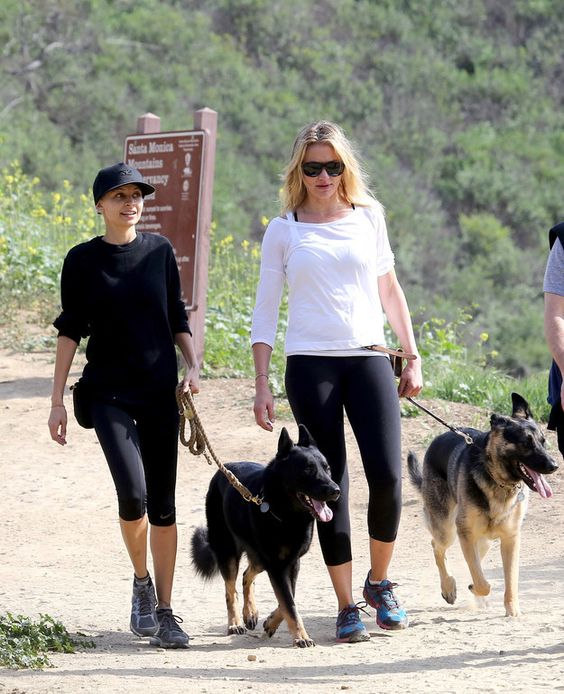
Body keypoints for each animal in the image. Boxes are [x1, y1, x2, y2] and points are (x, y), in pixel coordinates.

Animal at [189, 426, 340, 648]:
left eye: (327, 468)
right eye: (308, 470)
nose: (336, 490)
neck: (288, 515)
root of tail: (221, 472)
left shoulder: (291, 564)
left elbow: (288, 599)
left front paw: (271, 623)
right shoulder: (276, 566)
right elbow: (289, 604)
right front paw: (301, 636)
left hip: (259, 559)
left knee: (246, 575)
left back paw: (250, 613)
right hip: (228, 553)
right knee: (230, 590)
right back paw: (234, 623)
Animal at [408, 394, 556, 616]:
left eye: (543, 442)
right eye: (526, 443)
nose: (554, 465)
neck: (498, 480)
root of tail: (439, 437)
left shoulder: (511, 539)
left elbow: (510, 579)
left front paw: (512, 610)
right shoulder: (465, 533)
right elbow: (481, 581)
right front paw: (475, 588)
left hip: (483, 540)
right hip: (447, 531)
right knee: (437, 546)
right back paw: (449, 587)